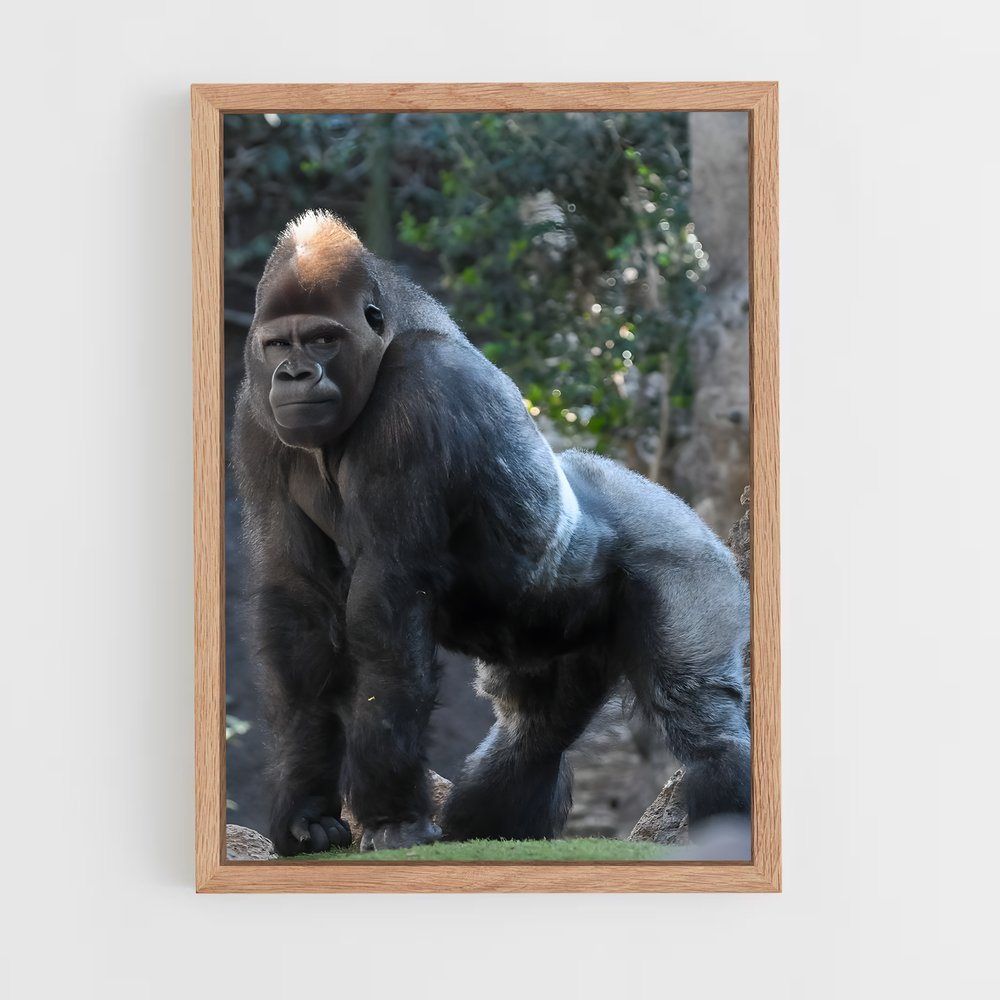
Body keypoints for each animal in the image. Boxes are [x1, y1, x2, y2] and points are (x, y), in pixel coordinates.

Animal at [232, 210, 750, 855]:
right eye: (279, 343)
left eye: (324, 338)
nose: (295, 373)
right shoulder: (255, 414)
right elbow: (297, 604)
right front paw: (306, 808)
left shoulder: (419, 392)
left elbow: (386, 603)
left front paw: (391, 815)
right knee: (533, 735)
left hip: (691, 560)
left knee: (704, 723)